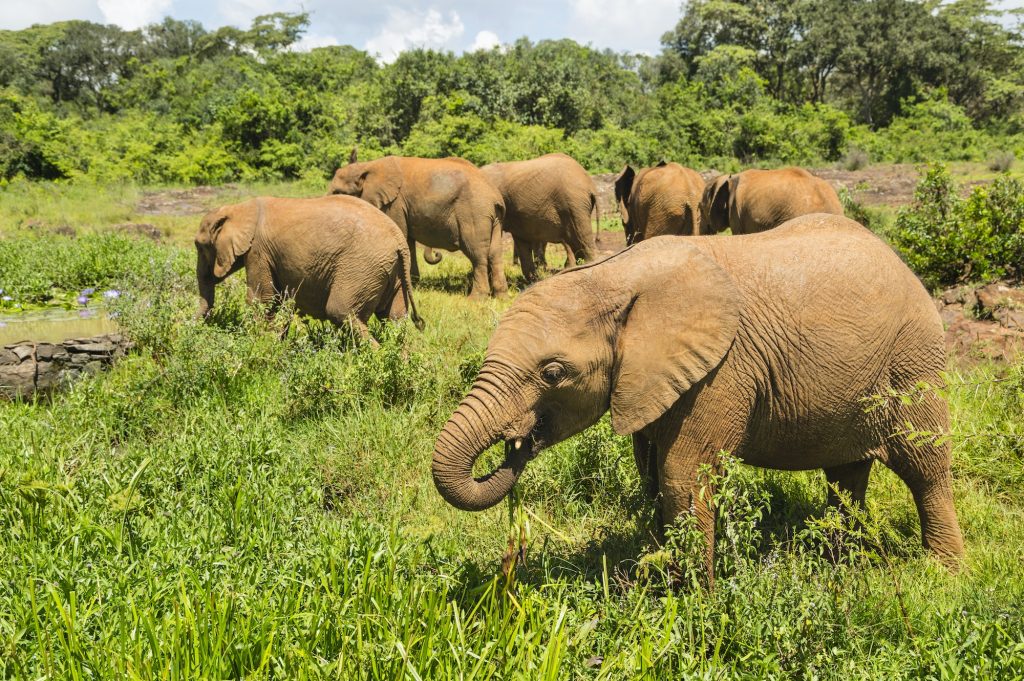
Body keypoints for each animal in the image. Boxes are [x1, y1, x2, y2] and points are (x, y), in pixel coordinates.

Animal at [195, 193, 423, 333]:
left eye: (200, 246)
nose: (197, 326)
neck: (239, 208)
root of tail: (399, 240)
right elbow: (276, 300)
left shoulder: (258, 251)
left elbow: (263, 299)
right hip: (393, 271)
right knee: (394, 319)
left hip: (363, 268)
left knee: (341, 311)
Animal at [329, 151, 505, 296]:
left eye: (338, 192)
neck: (366, 166)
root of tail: (494, 195)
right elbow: (407, 241)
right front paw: (413, 284)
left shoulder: (395, 203)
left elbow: (401, 234)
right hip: (494, 217)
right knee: (495, 254)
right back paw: (500, 296)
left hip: (474, 211)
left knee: (477, 254)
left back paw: (476, 299)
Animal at [428, 213, 962, 577]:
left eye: (553, 373)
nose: (516, 444)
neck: (613, 277)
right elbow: (651, 475)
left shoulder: (721, 371)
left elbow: (682, 476)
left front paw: (694, 602)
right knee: (845, 477)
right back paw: (837, 562)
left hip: (913, 360)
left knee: (924, 467)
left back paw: (943, 572)